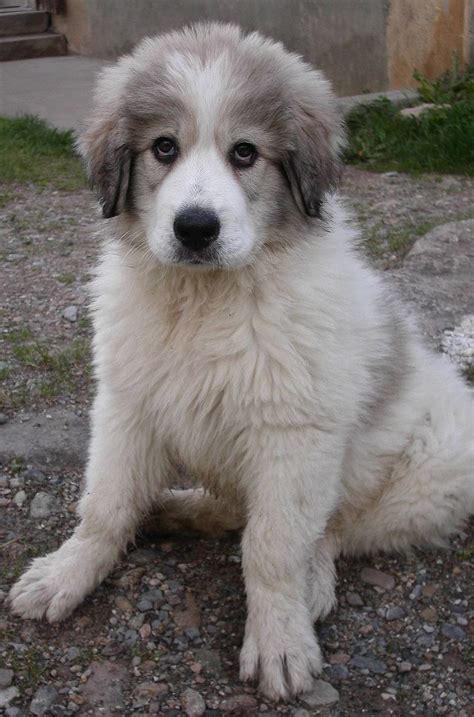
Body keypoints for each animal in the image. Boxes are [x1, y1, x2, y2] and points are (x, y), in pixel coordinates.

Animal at [8, 21, 474, 700]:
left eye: (246, 153)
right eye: (164, 148)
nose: (196, 228)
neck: (206, 301)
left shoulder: (293, 434)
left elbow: (273, 546)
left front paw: (278, 641)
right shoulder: (127, 404)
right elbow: (105, 505)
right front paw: (66, 574)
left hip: (429, 473)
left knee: (330, 530)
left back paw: (311, 586)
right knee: (231, 509)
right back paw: (173, 510)